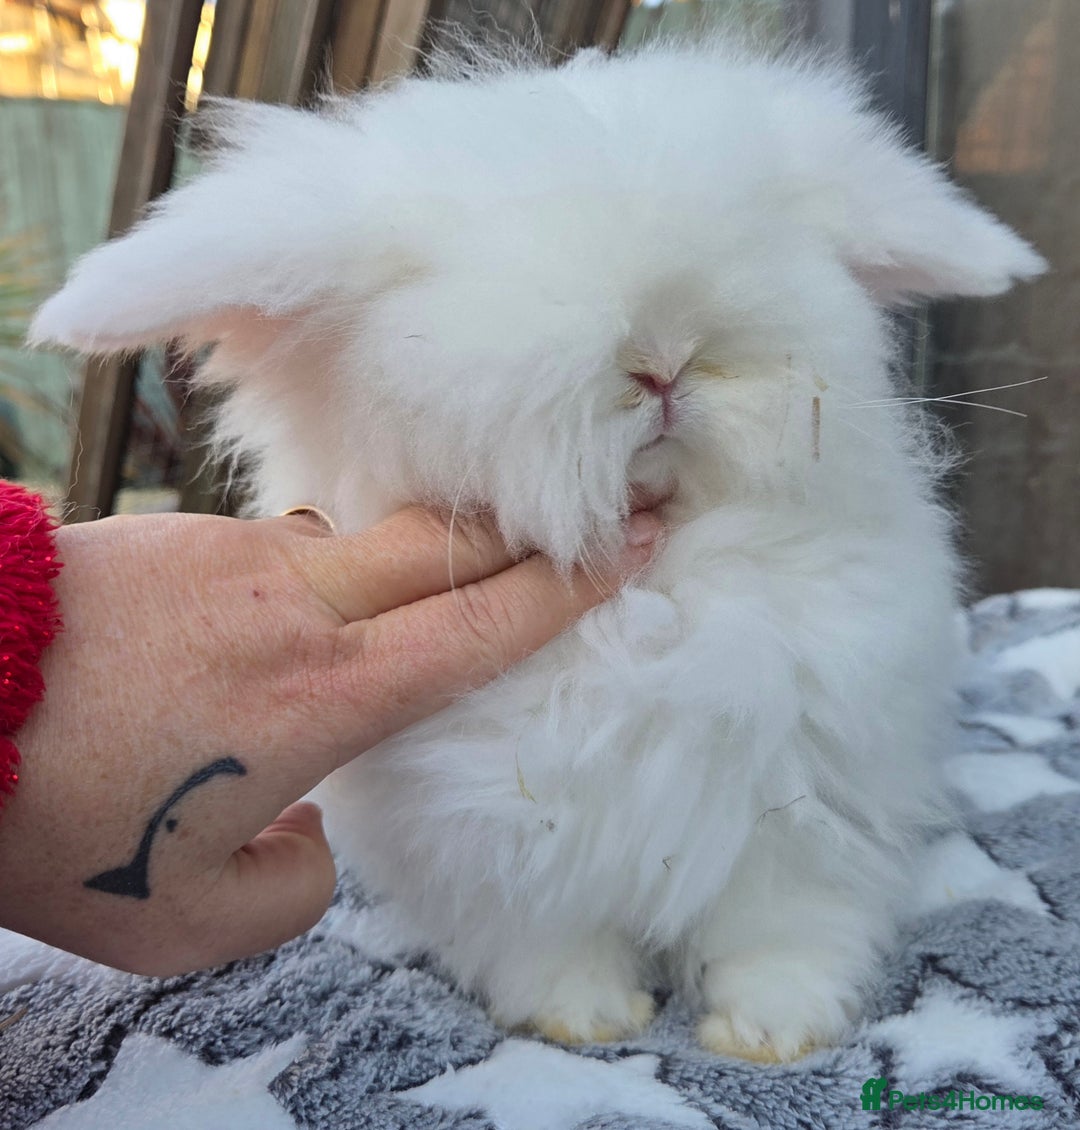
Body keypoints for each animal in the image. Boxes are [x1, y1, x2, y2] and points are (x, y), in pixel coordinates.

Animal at [32, 38, 1045, 1062]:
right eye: (432, 276)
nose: (665, 360)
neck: (653, 593)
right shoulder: (500, 854)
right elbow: (552, 944)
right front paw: (588, 1023)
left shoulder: (799, 813)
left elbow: (781, 928)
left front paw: (771, 1032)